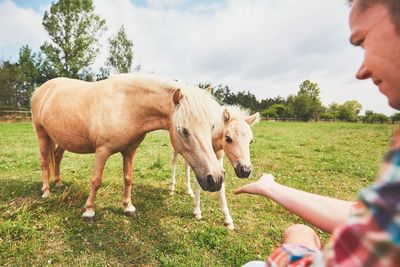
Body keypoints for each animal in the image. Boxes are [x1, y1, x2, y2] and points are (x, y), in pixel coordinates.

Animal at [31, 73, 225, 222]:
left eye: (212, 126)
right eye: (183, 130)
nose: (216, 179)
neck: (125, 105)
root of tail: (42, 89)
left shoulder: (130, 151)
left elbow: (128, 178)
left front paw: (128, 207)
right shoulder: (102, 151)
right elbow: (96, 181)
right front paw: (89, 211)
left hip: (59, 138)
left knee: (56, 157)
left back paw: (58, 182)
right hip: (41, 134)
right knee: (44, 161)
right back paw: (46, 191)